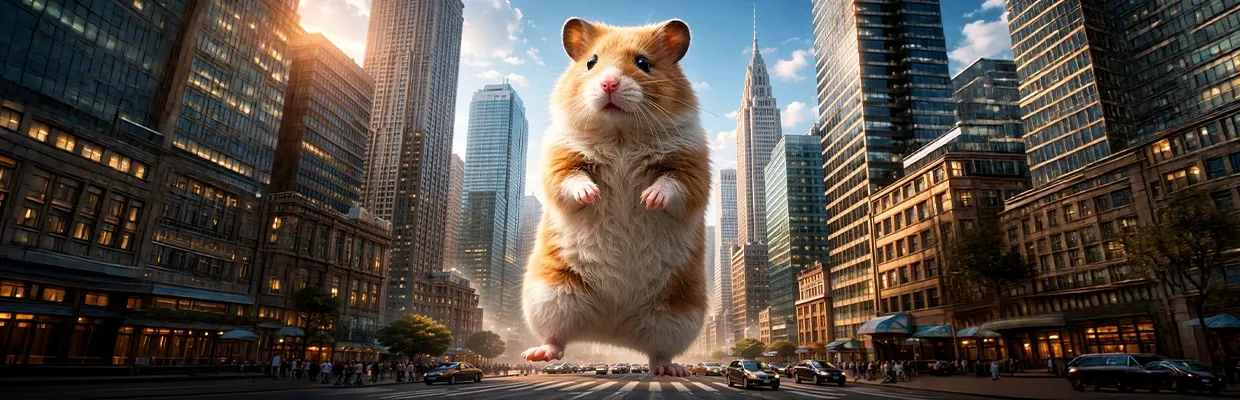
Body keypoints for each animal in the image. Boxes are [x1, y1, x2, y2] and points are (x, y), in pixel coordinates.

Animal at [519, 18, 711, 377]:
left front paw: (648, 199)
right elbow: (570, 180)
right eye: (591, 62)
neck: (619, 133)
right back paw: (536, 354)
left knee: (658, 352)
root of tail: (612, 329)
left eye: (643, 63)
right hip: (550, 293)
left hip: (677, 314)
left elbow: (673, 186)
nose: (608, 83)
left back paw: (673, 370)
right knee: (557, 339)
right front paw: (591, 194)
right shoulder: (560, 157)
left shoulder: (692, 166)